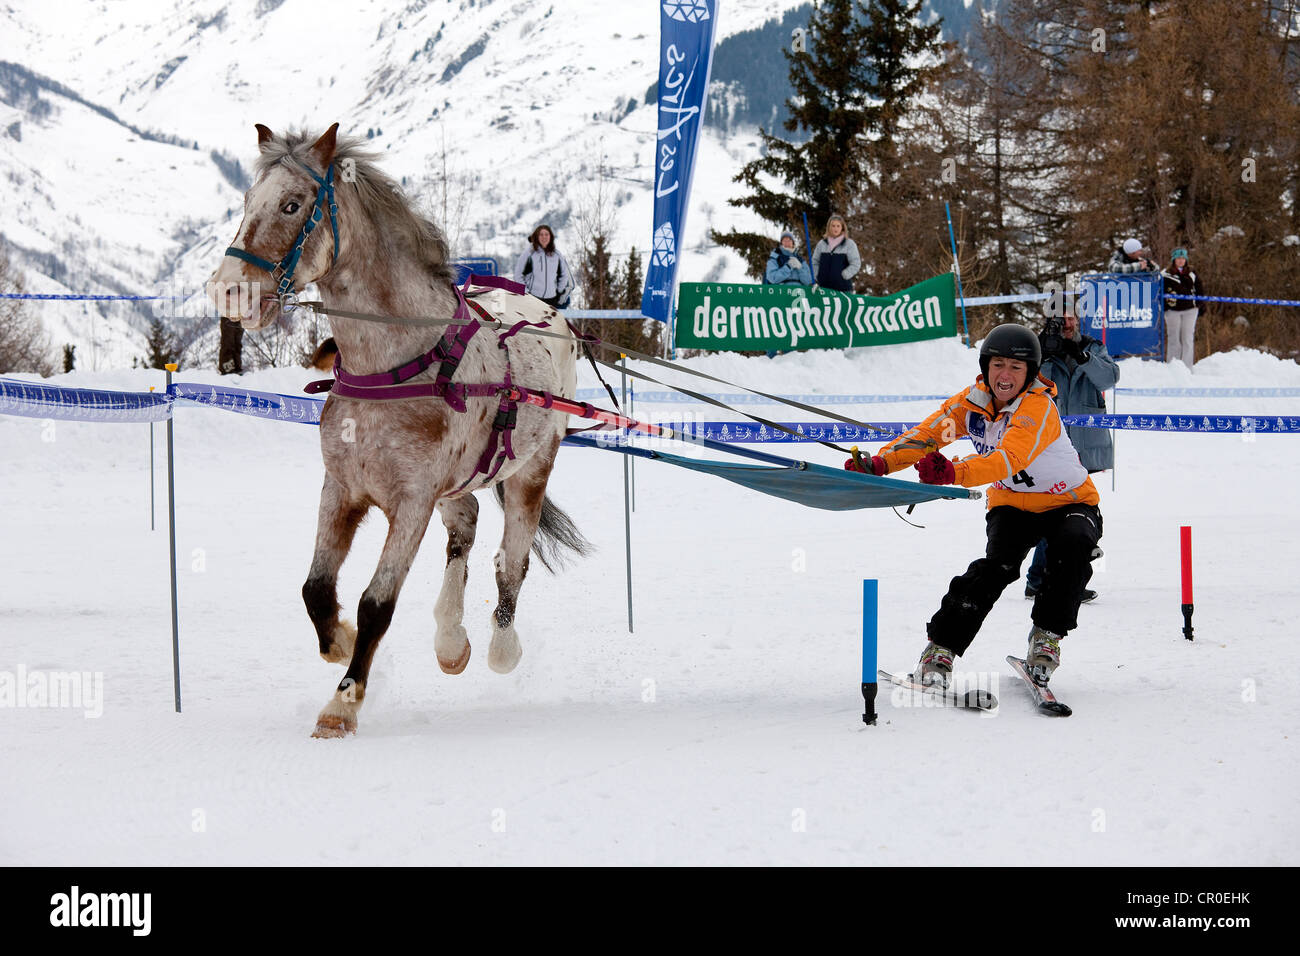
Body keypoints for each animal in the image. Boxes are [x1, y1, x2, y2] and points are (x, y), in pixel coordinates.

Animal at [209, 125, 590, 738]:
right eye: (247, 202)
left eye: (292, 205)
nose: (227, 291)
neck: (397, 362)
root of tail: (551, 315)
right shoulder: (342, 488)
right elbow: (316, 588)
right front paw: (339, 642)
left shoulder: (411, 501)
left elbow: (376, 604)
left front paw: (342, 704)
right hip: (460, 480)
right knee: (465, 527)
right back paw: (450, 639)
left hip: (531, 470)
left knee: (512, 559)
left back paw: (500, 646)